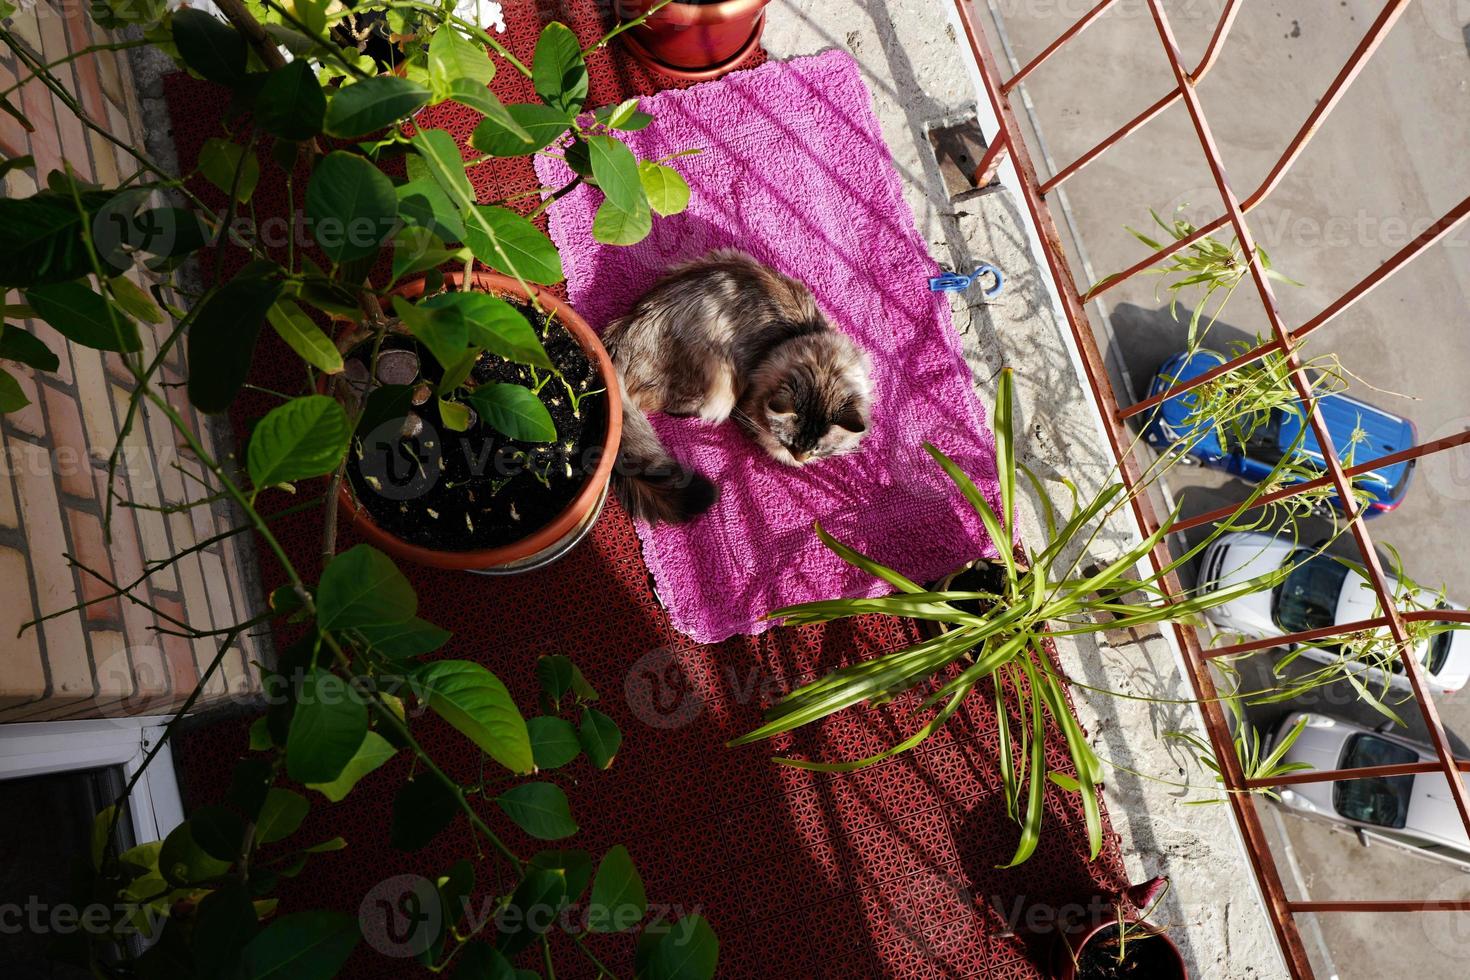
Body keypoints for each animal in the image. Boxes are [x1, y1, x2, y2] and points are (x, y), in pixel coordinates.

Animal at [599, 249, 864, 525]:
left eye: (816, 449)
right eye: (790, 442)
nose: (800, 457)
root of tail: (625, 328)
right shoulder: (750, 408)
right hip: (720, 384)